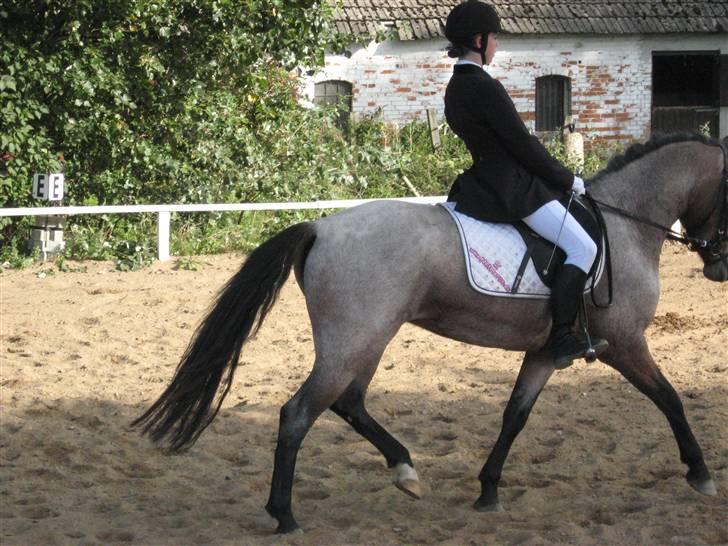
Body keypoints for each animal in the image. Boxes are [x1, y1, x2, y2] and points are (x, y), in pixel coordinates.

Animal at [133, 133, 727, 534]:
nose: (719, 269)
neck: (625, 225)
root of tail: (319, 226)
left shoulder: (545, 352)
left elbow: (515, 416)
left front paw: (488, 490)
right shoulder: (624, 343)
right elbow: (670, 399)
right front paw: (700, 472)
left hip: (368, 339)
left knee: (348, 403)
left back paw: (405, 469)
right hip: (356, 340)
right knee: (300, 413)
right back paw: (285, 515)